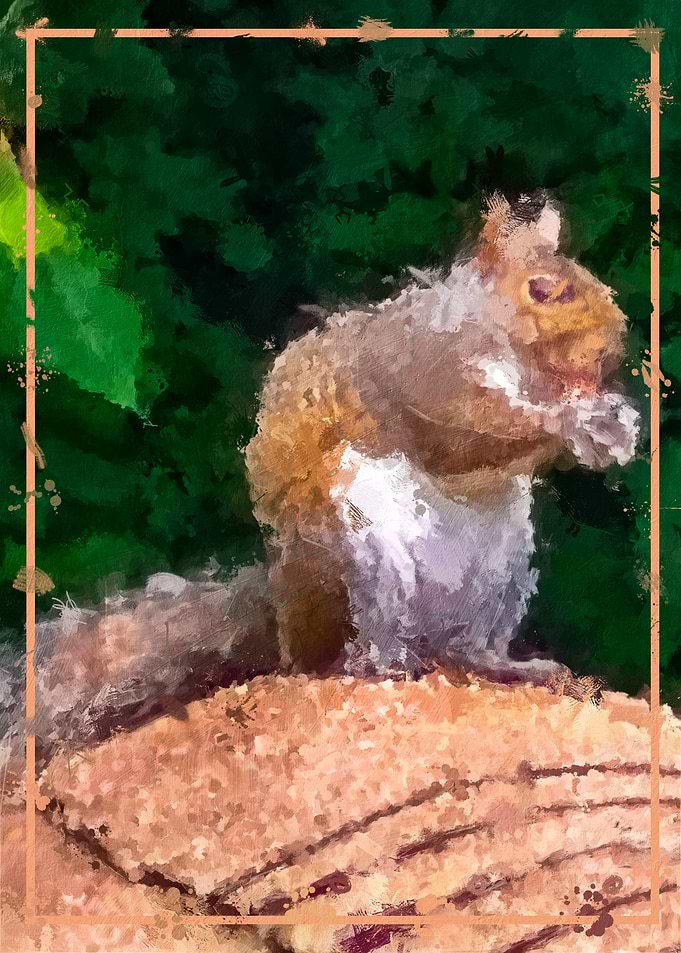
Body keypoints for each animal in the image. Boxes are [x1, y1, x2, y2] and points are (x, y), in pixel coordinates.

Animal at [245, 192, 639, 681]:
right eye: (544, 290)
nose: (612, 345)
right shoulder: (424, 379)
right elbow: (466, 441)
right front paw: (570, 422)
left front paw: (612, 424)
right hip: (363, 556)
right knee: (361, 642)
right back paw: (382, 665)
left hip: (502, 575)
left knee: (467, 648)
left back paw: (512, 665)